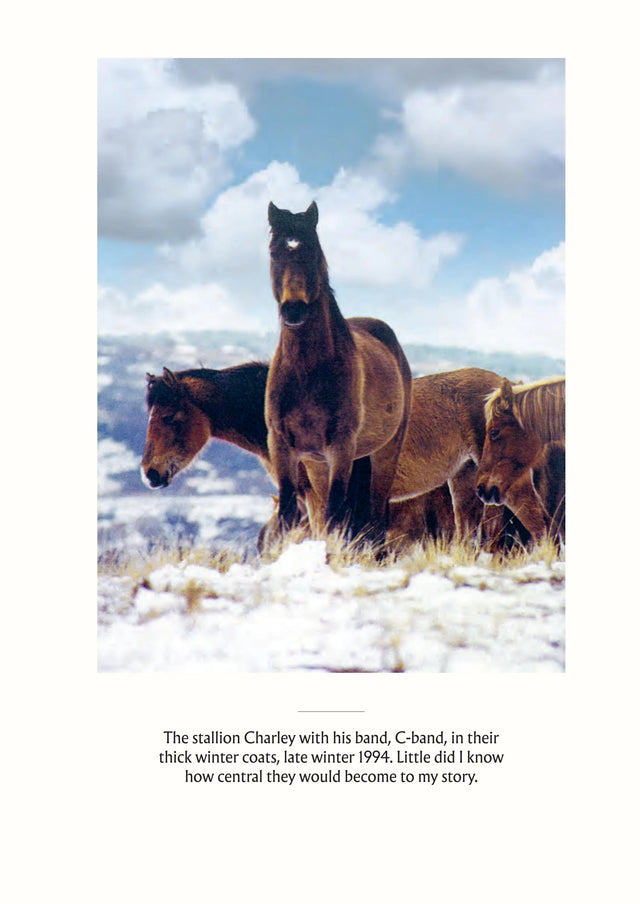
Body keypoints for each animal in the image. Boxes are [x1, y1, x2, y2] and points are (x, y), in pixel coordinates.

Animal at [264, 201, 413, 546]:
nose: (294, 310)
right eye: (274, 253)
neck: (307, 372)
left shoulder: (341, 449)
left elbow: (335, 514)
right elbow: (290, 515)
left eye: (313, 251)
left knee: (374, 516)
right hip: (323, 463)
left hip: (383, 454)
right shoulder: (282, 447)